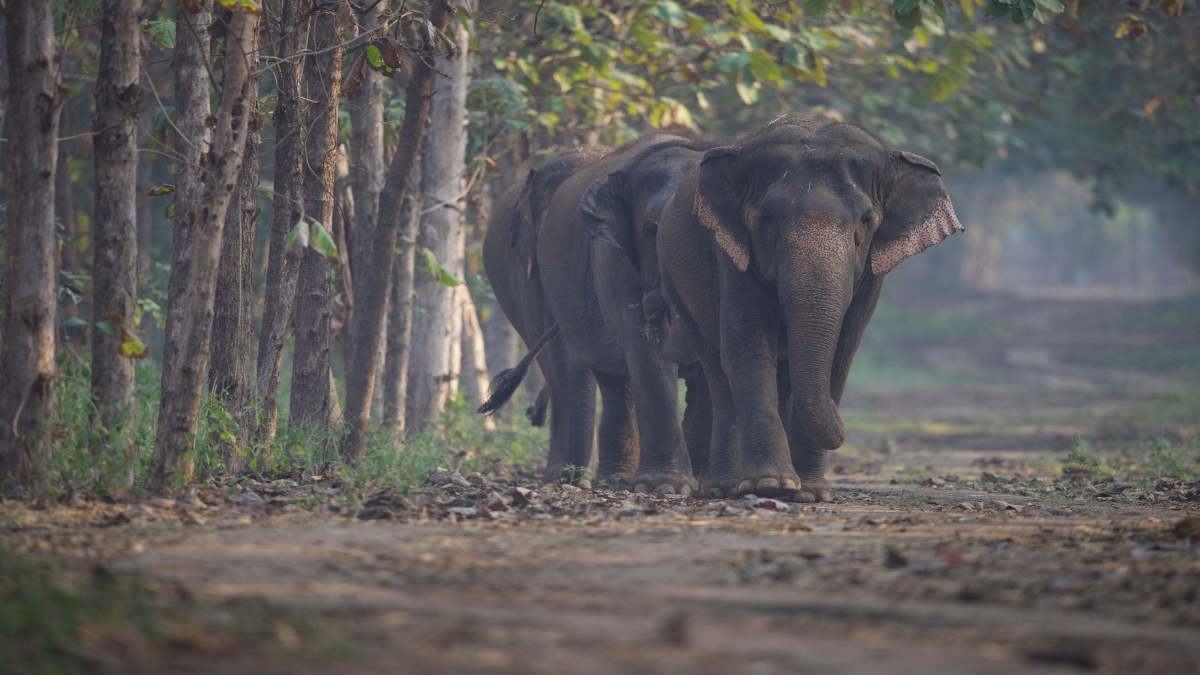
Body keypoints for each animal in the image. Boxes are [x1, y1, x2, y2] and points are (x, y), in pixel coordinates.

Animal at [656, 116, 964, 502]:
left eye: (866, 220)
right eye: (767, 219)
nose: (844, 422)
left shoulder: (872, 273)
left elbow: (843, 350)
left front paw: (811, 494)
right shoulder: (730, 251)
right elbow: (748, 343)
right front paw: (770, 485)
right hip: (676, 285)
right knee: (717, 368)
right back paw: (725, 488)